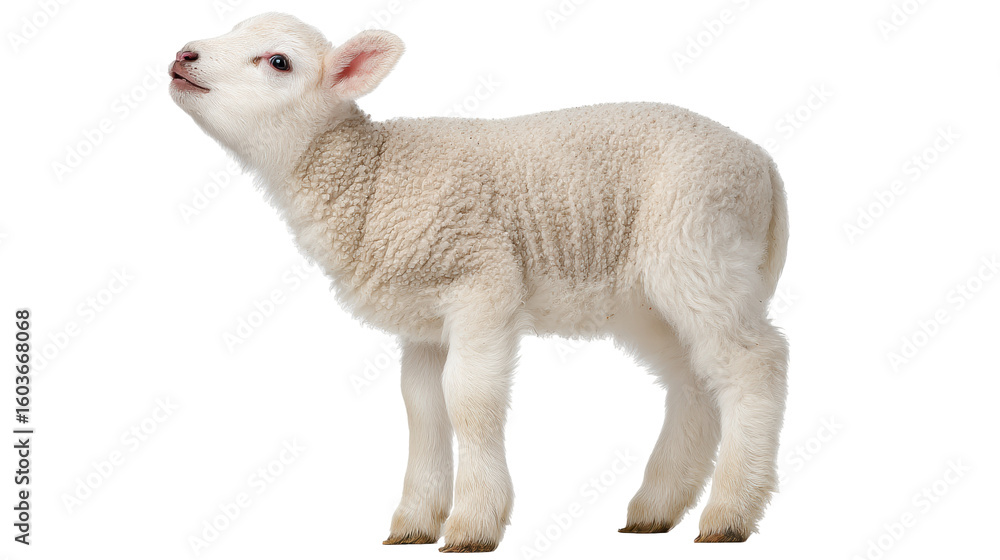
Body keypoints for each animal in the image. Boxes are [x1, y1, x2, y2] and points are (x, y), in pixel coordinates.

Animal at [169, 12, 790, 552]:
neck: (373, 177)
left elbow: (468, 399)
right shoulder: (421, 318)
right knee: (693, 380)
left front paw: (472, 523)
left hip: (698, 244)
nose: (183, 55)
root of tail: (764, 164)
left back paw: (730, 513)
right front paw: (415, 523)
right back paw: (656, 508)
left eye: (278, 61)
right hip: (651, 295)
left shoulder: (482, 283)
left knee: (754, 362)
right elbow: (422, 407)